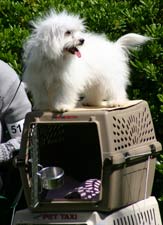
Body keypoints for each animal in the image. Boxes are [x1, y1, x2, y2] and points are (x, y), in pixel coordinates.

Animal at [22, 9, 150, 111]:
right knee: (97, 91)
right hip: (96, 79)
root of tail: (114, 46)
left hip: (110, 77)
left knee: (115, 88)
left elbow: (64, 94)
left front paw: (63, 106)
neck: (55, 58)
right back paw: (90, 102)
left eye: (77, 31)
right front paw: (42, 106)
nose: (82, 40)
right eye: (68, 32)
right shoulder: (39, 80)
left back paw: (116, 102)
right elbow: (41, 95)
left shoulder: (66, 81)